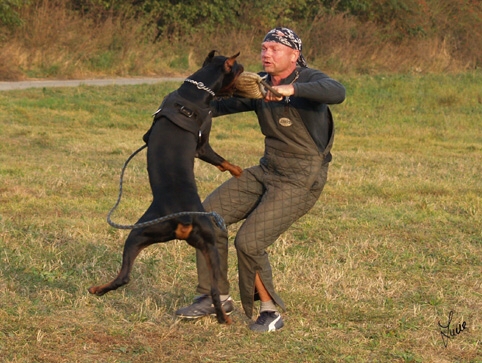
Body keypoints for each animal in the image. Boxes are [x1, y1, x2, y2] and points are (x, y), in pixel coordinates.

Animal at [88, 50, 243, 324]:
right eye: (237, 69)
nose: (246, 69)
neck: (194, 93)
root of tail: (185, 218)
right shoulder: (203, 144)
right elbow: (221, 159)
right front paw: (238, 170)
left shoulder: (200, 144)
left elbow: (221, 160)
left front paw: (236, 171)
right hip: (209, 244)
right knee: (215, 288)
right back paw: (223, 318)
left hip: (140, 231)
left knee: (124, 276)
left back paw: (97, 289)